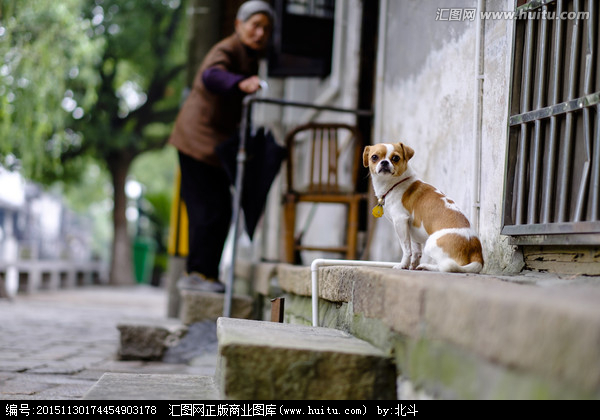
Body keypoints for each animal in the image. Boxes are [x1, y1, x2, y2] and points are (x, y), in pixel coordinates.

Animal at [360, 142, 482, 272]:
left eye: (396, 158)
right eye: (374, 157)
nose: (384, 162)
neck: (395, 184)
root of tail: (477, 255)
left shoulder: (400, 221)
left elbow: (406, 249)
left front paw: (403, 265)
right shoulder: (412, 229)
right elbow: (416, 251)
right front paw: (412, 266)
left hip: (430, 244)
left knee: (446, 266)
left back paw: (426, 266)